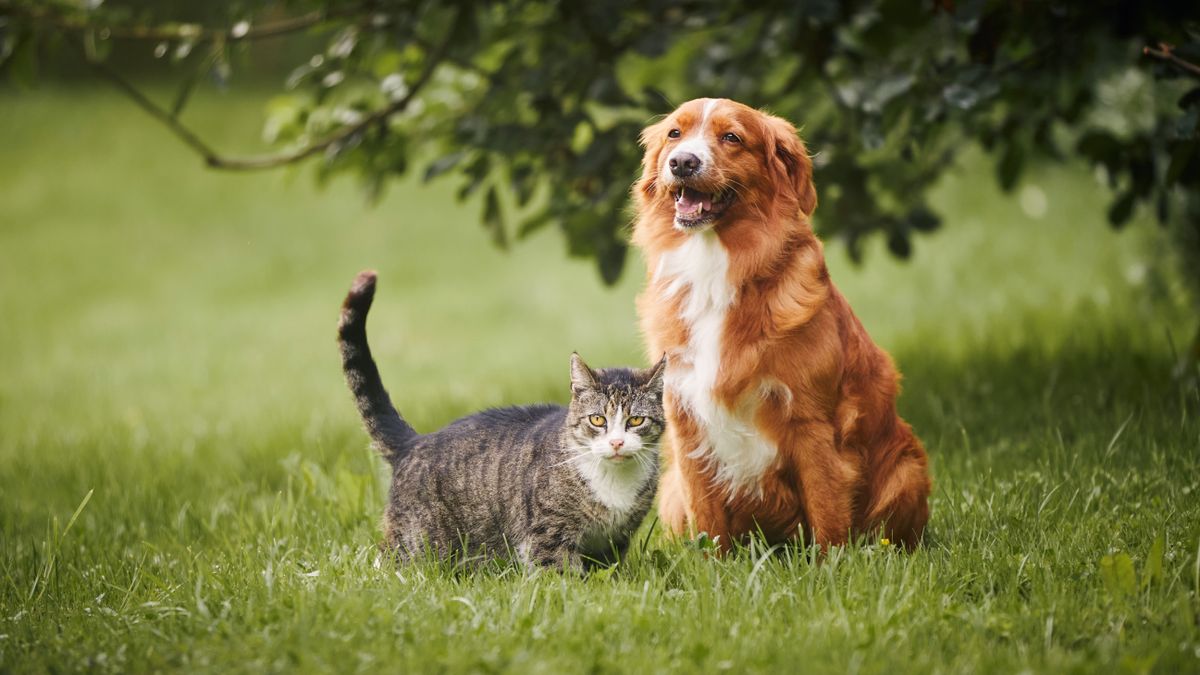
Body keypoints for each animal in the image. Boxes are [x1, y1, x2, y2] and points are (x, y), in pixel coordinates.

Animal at [338, 267, 667, 566]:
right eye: (597, 420)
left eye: (636, 421)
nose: (617, 443)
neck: (614, 484)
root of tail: (414, 441)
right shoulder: (548, 534)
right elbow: (560, 574)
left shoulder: (615, 540)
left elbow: (607, 571)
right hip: (418, 542)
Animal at [633, 100, 931, 552]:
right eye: (674, 134)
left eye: (732, 137)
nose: (682, 162)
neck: (715, 267)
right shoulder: (687, 422)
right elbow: (707, 522)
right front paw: (711, 566)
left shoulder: (812, 422)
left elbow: (827, 513)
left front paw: (832, 566)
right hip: (670, 490)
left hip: (907, 469)